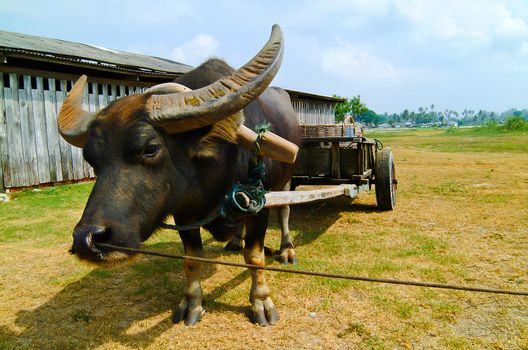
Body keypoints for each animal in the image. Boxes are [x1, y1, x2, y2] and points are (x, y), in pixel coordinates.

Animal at [59, 26, 300, 326]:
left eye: (151, 148)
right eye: (91, 159)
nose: (87, 240)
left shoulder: (260, 205)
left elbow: (255, 257)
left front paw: (261, 302)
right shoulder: (185, 213)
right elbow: (192, 259)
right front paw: (191, 303)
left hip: (286, 181)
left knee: (286, 211)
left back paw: (287, 249)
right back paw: (234, 240)